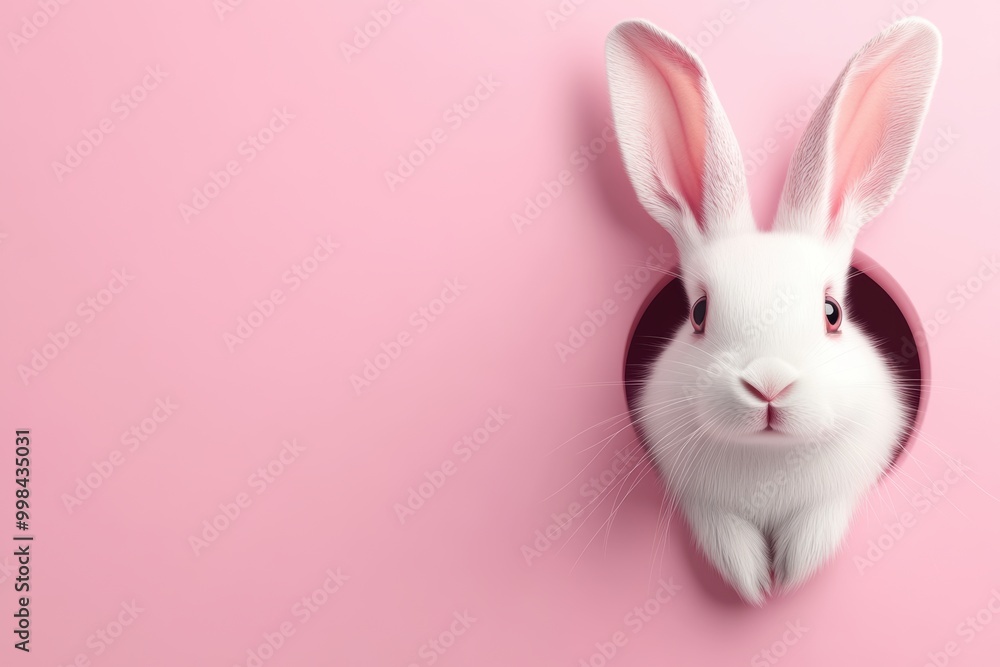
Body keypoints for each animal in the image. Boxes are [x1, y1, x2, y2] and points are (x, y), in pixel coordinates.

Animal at [605, 17, 941, 604]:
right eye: (698, 312)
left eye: (832, 312)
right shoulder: (699, 497)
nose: (768, 385)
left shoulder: (844, 485)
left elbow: (818, 524)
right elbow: (724, 531)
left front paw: (791, 573)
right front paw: (753, 582)